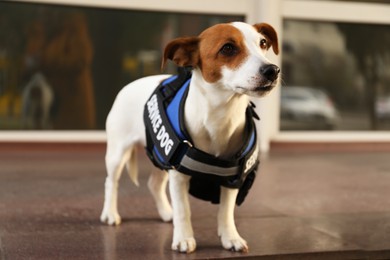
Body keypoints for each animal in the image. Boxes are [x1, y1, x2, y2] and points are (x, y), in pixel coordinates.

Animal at [99, 21, 278, 253]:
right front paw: (184, 238)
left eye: (263, 43)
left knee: (154, 184)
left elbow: (226, 211)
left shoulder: (232, 178)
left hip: (163, 156)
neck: (221, 116)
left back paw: (167, 212)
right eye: (228, 48)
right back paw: (110, 213)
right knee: (111, 182)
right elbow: (184, 209)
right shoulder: (179, 175)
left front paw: (230, 237)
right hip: (118, 153)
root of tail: (129, 85)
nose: (273, 70)